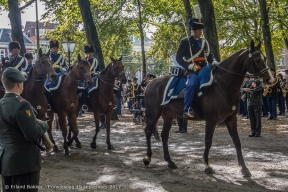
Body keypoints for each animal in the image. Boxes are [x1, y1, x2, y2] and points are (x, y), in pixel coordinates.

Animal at [143, 40, 274, 177]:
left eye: (264, 58)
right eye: (257, 59)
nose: (270, 79)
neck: (222, 85)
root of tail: (150, 83)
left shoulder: (231, 119)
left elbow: (237, 142)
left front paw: (244, 168)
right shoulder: (211, 120)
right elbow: (208, 141)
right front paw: (207, 165)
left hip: (168, 115)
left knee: (164, 135)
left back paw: (169, 161)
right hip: (154, 113)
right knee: (148, 131)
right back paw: (147, 158)